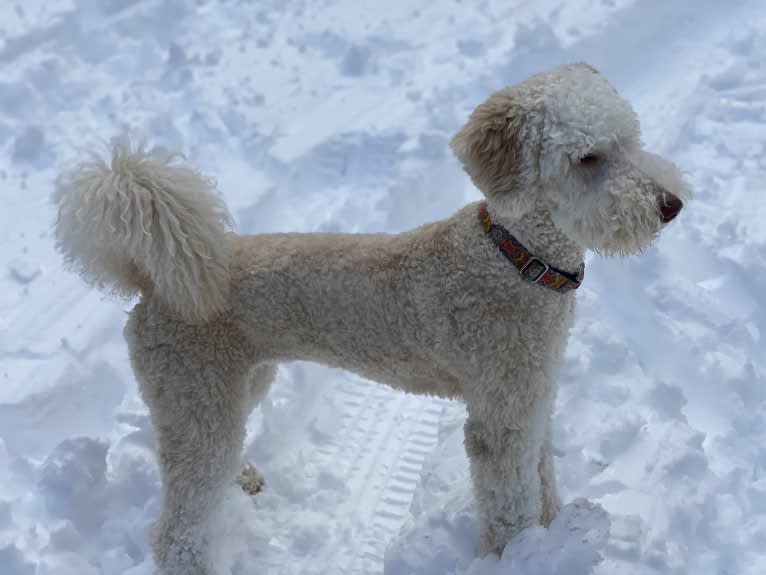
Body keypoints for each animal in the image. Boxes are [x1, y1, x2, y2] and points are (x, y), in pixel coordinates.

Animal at [52, 65, 688, 572]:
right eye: (587, 158)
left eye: (630, 140)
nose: (671, 206)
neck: (515, 259)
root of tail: (153, 284)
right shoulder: (499, 419)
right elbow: (510, 502)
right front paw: (519, 555)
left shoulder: (532, 396)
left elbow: (542, 477)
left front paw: (556, 533)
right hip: (195, 392)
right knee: (176, 531)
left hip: (235, 383)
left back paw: (244, 476)